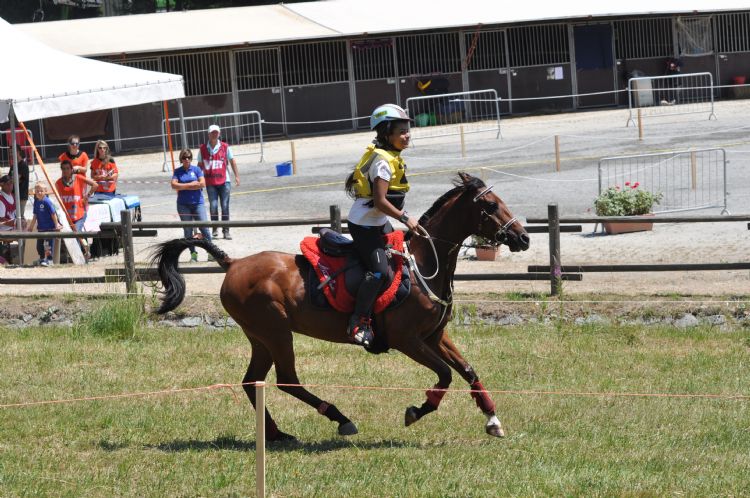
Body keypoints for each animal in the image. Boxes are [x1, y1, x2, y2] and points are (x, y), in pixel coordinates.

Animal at [150, 171, 532, 440]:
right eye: (491, 206)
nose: (524, 237)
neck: (424, 263)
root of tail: (233, 263)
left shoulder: (435, 336)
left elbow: (467, 370)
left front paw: (492, 419)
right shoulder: (407, 340)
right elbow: (445, 375)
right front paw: (416, 411)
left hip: (260, 336)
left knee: (252, 382)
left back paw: (276, 434)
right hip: (275, 332)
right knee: (287, 380)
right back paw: (340, 418)